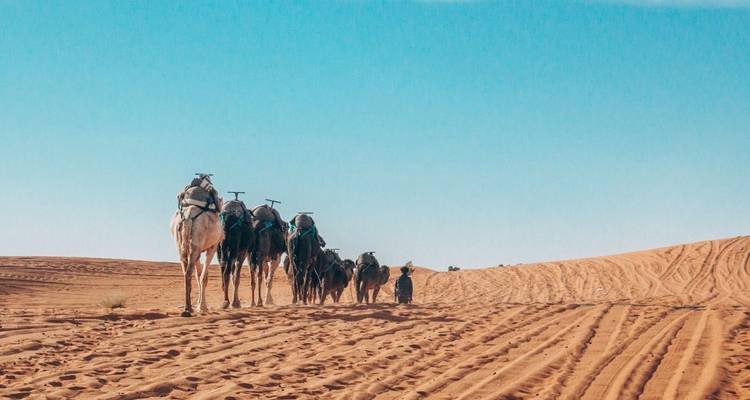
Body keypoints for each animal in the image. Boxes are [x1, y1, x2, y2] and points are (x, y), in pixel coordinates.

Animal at [170, 188, 224, 317]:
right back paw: (188, 308)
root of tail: (188, 217)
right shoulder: (213, 247)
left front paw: (200, 305)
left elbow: (198, 275)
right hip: (196, 244)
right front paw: (202, 306)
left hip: (182, 246)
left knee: (185, 272)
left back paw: (188, 307)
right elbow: (203, 277)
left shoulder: (199, 251)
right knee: (189, 273)